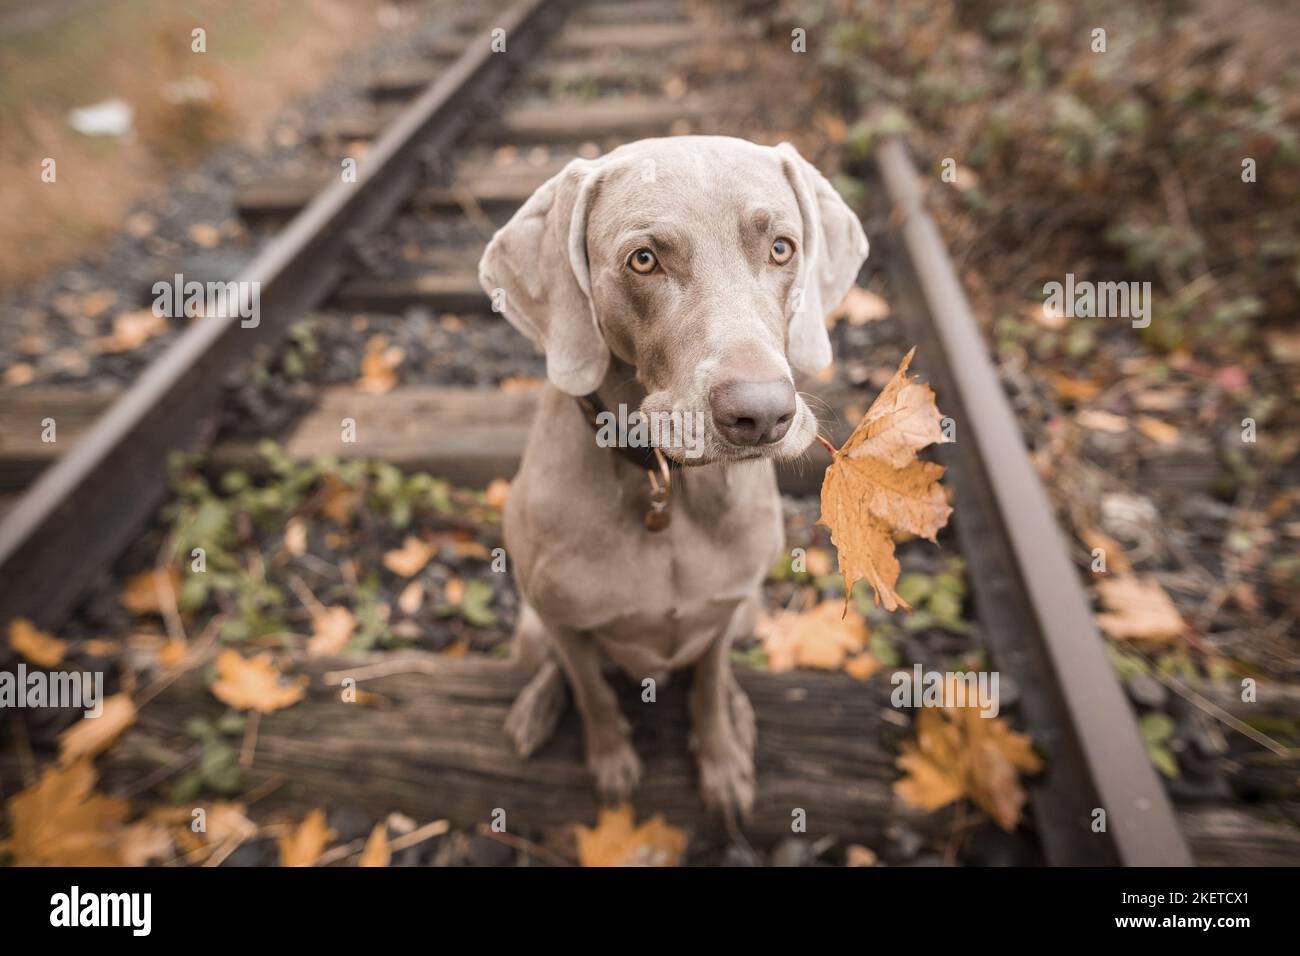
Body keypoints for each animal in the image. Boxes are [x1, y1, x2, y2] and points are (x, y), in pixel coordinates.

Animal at [475, 136, 863, 816]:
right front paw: (610, 761)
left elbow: (707, 682)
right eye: (644, 260)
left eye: (781, 247)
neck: (667, 487)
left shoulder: (725, 608)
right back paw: (534, 709)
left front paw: (723, 761)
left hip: (750, 612)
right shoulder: (563, 622)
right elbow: (591, 690)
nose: (762, 414)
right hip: (530, 624)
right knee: (554, 666)